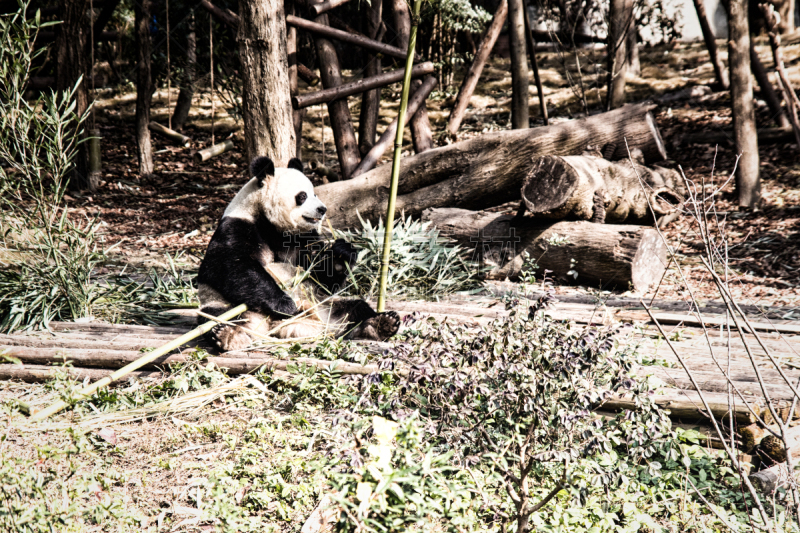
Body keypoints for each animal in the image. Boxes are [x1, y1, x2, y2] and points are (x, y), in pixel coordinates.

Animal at [197, 156, 400, 352]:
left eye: (315, 194)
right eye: (302, 196)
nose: (322, 209)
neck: (270, 224)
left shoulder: (304, 238)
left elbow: (322, 278)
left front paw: (342, 253)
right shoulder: (237, 226)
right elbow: (232, 266)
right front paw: (284, 305)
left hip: (323, 305)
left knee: (354, 309)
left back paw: (380, 324)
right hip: (224, 305)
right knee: (215, 317)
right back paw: (229, 336)